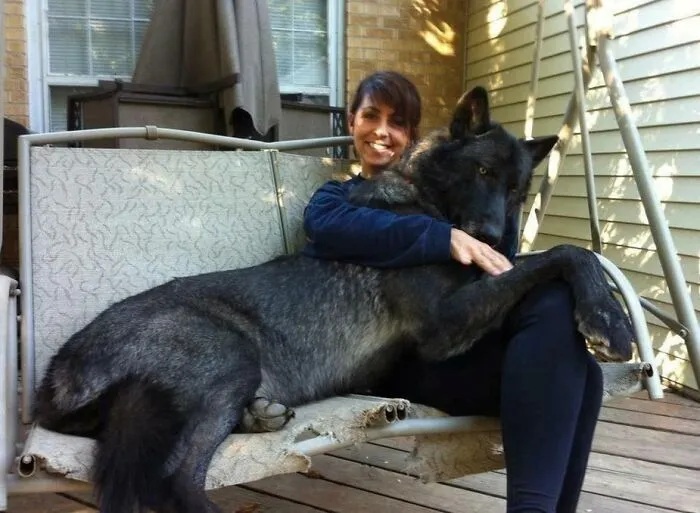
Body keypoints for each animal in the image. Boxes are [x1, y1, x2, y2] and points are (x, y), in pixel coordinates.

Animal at [35, 86, 635, 513]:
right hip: (229, 358)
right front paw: (610, 319)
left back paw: (260, 416)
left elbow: (555, 257)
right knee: (174, 483)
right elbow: (567, 251)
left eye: (516, 190)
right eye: (482, 171)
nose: (490, 238)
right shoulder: (444, 324)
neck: (423, 202)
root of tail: (57, 375)